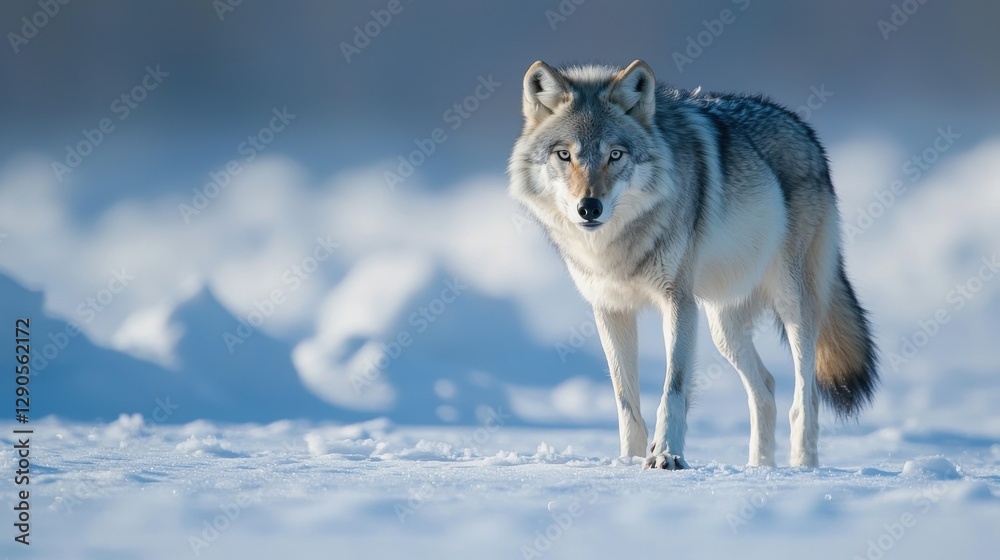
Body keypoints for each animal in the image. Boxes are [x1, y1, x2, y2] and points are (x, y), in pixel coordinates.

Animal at [508, 60, 878, 469]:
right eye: (564, 155)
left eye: (615, 155)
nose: (589, 207)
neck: (618, 245)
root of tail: (806, 132)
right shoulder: (610, 309)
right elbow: (626, 403)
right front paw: (627, 461)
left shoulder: (678, 303)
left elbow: (673, 388)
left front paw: (667, 455)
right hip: (723, 326)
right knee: (766, 388)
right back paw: (759, 468)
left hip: (791, 304)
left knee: (805, 396)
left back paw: (802, 468)